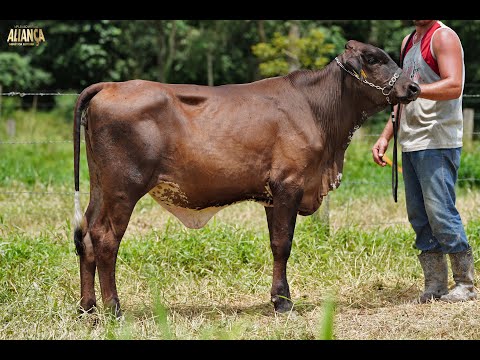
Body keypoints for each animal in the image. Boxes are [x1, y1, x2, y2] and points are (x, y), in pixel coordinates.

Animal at [72, 39, 420, 316]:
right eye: (373, 58)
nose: (413, 87)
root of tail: (110, 86)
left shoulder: (272, 196)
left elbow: (275, 243)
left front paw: (278, 298)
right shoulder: (289, 185)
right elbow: (283, 244)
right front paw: (283, 302)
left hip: (99, 186)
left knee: (85, 235)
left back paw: (87, 308)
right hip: (123, 188)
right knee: (105, 239)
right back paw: (114, 309)